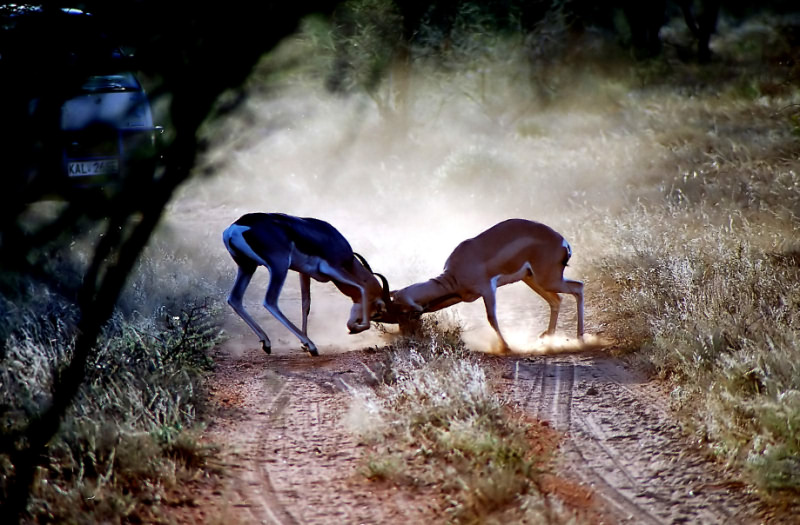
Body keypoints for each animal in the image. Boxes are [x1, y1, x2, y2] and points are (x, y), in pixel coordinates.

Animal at [223, 213, 390, 356]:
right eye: (377, 311)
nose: (353, 324)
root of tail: (234, 227)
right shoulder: (333, 268)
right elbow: (362, 287)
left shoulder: (303, 273)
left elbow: (306, 303)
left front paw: (303, 345)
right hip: (279, 266)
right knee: (270, 301)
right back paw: (311, 346)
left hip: (247, 267)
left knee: (235, 299)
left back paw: (268, 343)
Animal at [388, 217, 580, 352]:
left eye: (406, 313)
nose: (406, 336)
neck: (454, 273)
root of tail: (563, 242)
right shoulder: (460, 296)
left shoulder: (488, 289)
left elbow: (491, 318)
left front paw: (506, 347)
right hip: (533, 280)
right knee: (556, 300)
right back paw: (548, 339)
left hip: (548, 280)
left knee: (578, 287)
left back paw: (580, 339)